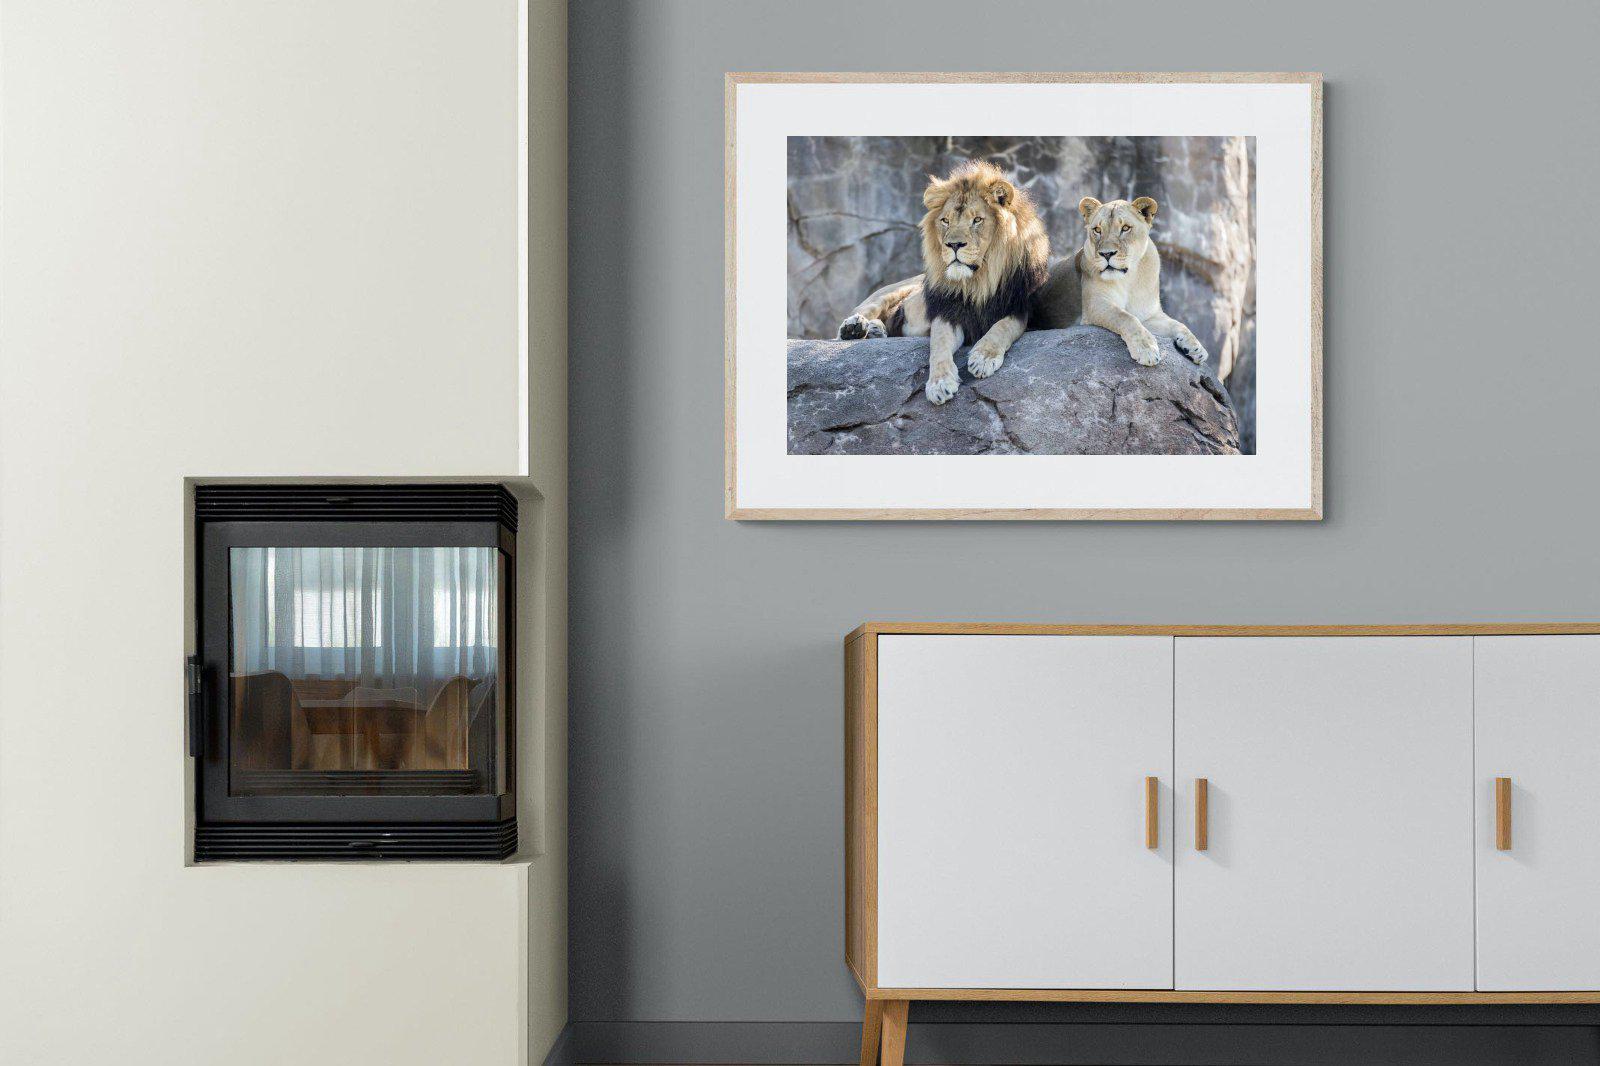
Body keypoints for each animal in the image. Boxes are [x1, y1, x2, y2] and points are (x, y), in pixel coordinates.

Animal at [836, 160, 1049, 405]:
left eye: (977, 220)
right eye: (945, 220)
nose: (953, 245)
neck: (978, 282)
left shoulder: (1020, 308)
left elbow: (1002, 327)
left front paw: (983, 358)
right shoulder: (947, 312)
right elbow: (938, 345)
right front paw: (939, 384)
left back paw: (875, 330)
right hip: (890, 291)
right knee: (862, 312)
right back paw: (854, 328)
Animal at [1073, 196, 1208, 368]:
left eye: (1125, 228)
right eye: (1097, 230)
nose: (1106, 254)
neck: (1128, 279)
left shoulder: (1148, 315)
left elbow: (1178, 324)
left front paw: (1197, 348)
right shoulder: (1094, 306)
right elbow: (1126, 317)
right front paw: (1147, 349)